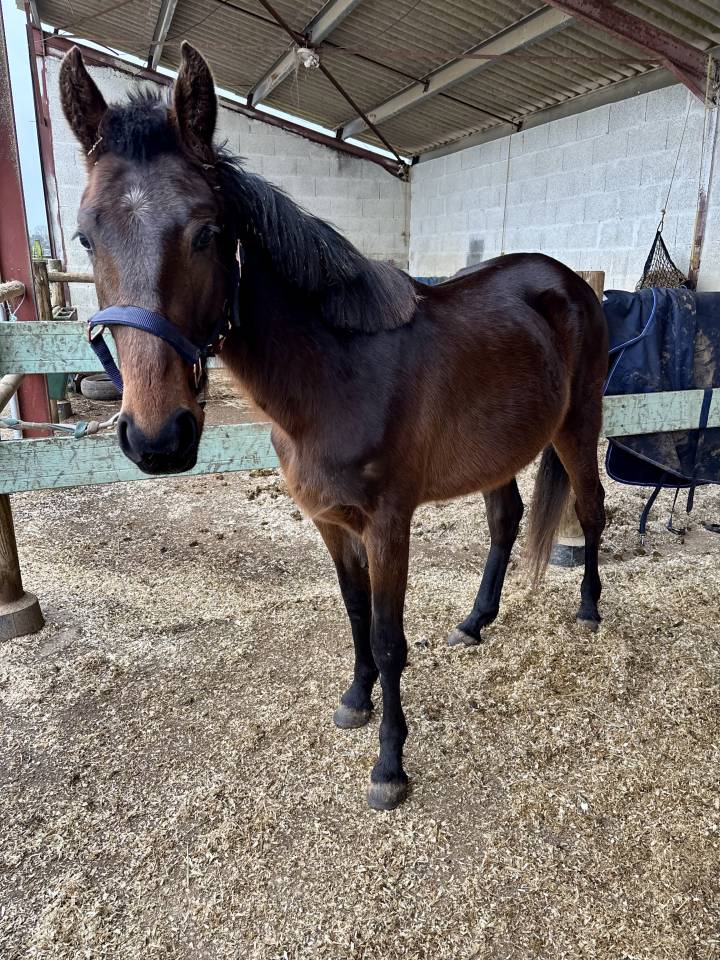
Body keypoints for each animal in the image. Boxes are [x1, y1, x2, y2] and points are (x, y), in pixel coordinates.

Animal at [59, 43, 607, 811]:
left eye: (206, 232)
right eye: (86, 236)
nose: (157, 438)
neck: (337, 373)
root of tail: (571, 282)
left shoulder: (387, 524)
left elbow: (388, 637)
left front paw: (390, 766)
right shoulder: (329, 520)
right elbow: (353, 617)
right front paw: (355, 702)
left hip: (578, 423)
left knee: (590, 508)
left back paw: (588, 611)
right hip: (496, 452)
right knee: (506, 521)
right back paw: (474, 622)